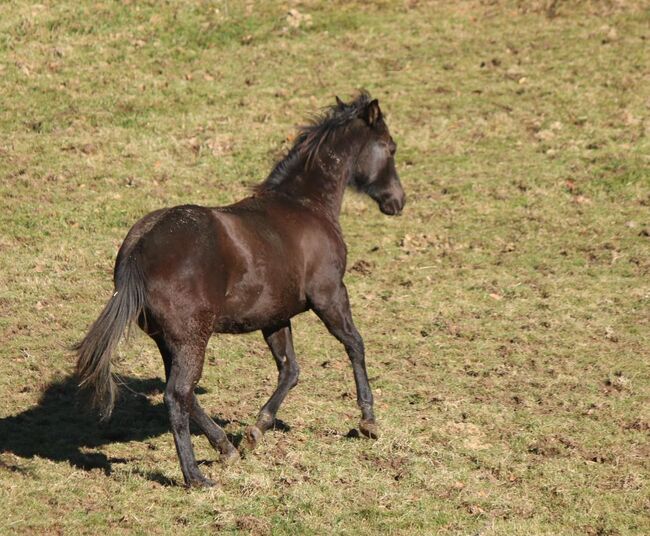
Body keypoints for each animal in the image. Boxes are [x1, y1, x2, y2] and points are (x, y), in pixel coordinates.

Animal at [73, 92, 402, 486]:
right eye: (390, 146)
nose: (397, 201)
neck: (306, 207)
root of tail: (139, 246)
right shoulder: (330, 295)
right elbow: (355, 345)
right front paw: (368, 421)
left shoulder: (275, 317)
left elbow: (290, 370)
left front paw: (255, 432)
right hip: (192, 339)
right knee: (177, 395)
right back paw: (196, 477)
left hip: (169, 341)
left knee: (185, 394)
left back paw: (225, 449)